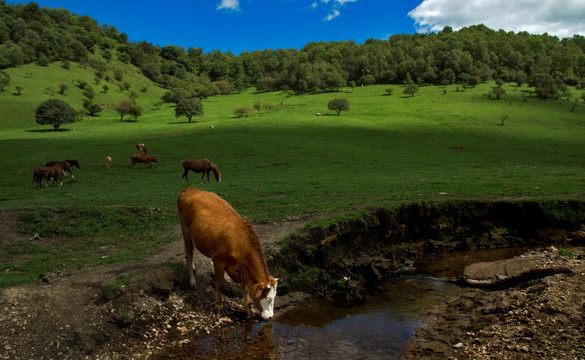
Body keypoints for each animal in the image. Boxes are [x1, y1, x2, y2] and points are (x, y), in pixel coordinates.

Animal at [177, 187, 278, 320]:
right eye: (267, 298)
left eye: (274, 297)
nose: (271, 317)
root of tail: (190, 188)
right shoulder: (218, 261)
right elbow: (220, 284)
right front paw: (218, 307)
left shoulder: (241, 268)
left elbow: (245, 286)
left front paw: (248, 309)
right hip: (185, 228)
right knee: (189, 252)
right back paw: (192, 281)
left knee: (187, 251)